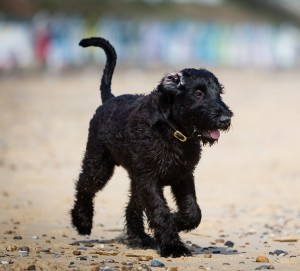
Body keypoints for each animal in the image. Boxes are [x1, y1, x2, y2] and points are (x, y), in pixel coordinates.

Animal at [70, 37, 232, 258]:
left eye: (219, 93)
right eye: (198, 93)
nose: (225, 119)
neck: (172, 130)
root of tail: (109, 99)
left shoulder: (182, 175)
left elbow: (192, 211)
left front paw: (176, 222)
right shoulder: (149, 180)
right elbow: (160, 211)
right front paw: (173, 246)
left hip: (134, 179)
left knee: (131, 208)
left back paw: (140, 238)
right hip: (99, 163)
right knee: (84, 186)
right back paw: (82, 221)